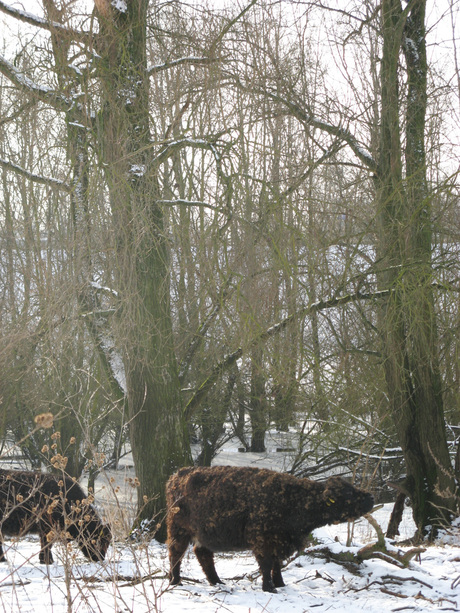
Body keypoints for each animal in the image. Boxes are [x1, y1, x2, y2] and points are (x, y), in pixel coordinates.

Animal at [166, 466, 374, 592]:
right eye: (348, 493)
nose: (370, 497)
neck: (294, 500)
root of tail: (179, 474)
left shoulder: (279, 542)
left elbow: (277, 564)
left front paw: (280, 584)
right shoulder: (263, 541)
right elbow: (266, 564)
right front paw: (269, 587)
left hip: (203, 534)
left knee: (202, 554)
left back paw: (216, 581)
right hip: (178, 529)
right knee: (176, 553)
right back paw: (175, 580)